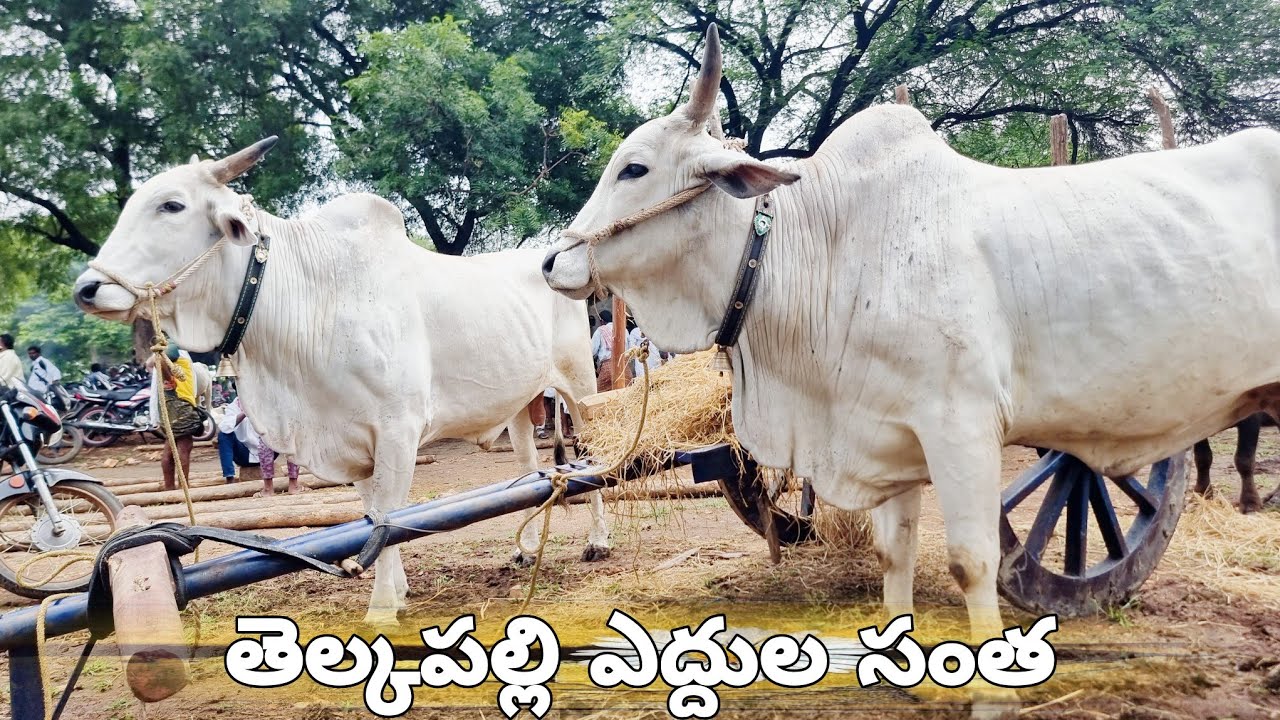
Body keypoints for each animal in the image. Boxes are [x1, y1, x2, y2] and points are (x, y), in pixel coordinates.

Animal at [73, 143, 601, 624]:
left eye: (172, 205)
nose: (86, 289)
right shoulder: (354, 440)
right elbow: (372, 517)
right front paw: (399, 591)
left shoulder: (398, 431)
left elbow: (389, 516)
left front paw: (382, 606)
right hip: (520, 403)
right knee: (531, 465)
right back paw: (526, 549)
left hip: (580, 385)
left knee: (593, 457)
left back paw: (597, 542)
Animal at [542, 24, 1280, 652]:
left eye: (634, 168)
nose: (552, 262)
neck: (831, 247)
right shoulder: (888, 436)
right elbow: (891, 555)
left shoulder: (962, 427)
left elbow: (972, 563)